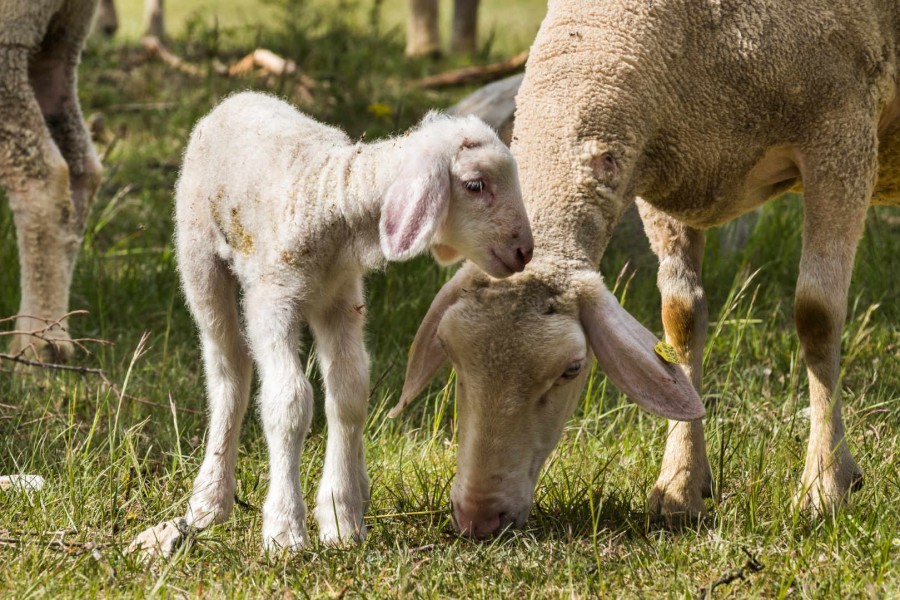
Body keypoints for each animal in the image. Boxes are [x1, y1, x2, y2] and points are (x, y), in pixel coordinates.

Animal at [129, 92, 532, 556]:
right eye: (475, 185)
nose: (525, 251)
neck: (332, 193)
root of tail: (237, 98)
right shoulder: (271, 299)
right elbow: (289, 400)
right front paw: (285, 530)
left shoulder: (341, 300)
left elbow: (349, 393)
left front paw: (341, 518)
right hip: (199, 257)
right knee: (228, 371)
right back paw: (210, 500)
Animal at [392, 0, 900, 536]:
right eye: (451, 356)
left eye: (572, 369)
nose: (478, 518)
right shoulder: (674, 180)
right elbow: (680, 319)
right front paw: (680, 485)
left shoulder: (842, 132)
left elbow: (816, 315)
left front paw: (826, 486)